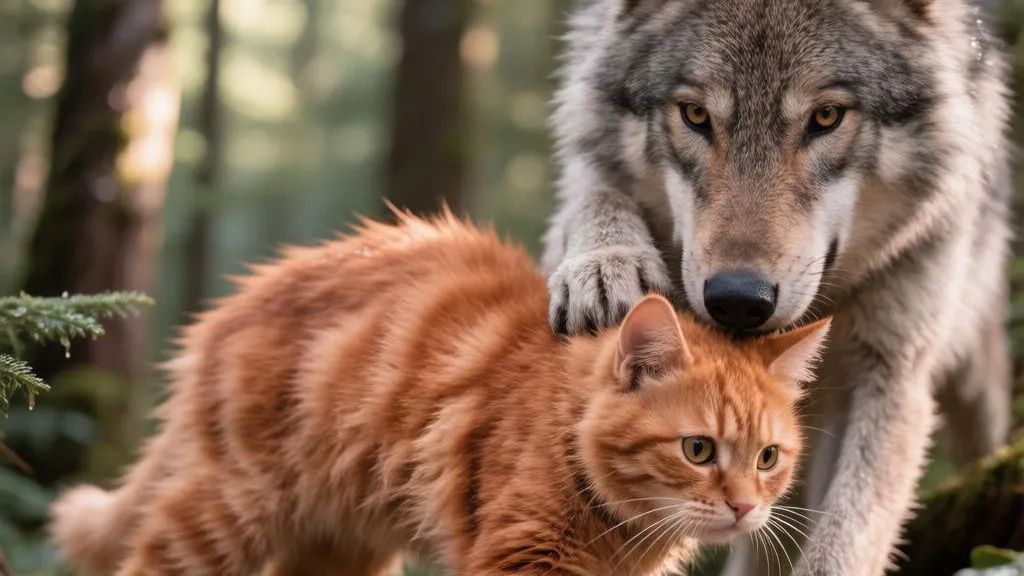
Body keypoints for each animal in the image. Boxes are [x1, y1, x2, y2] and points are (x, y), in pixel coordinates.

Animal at [541, 0, 1014, 574]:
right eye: (695, 115)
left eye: (826, 117)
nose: (738, 300)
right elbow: (596, 194)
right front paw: (606, 263)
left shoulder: (892, 372)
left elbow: (846, 538)